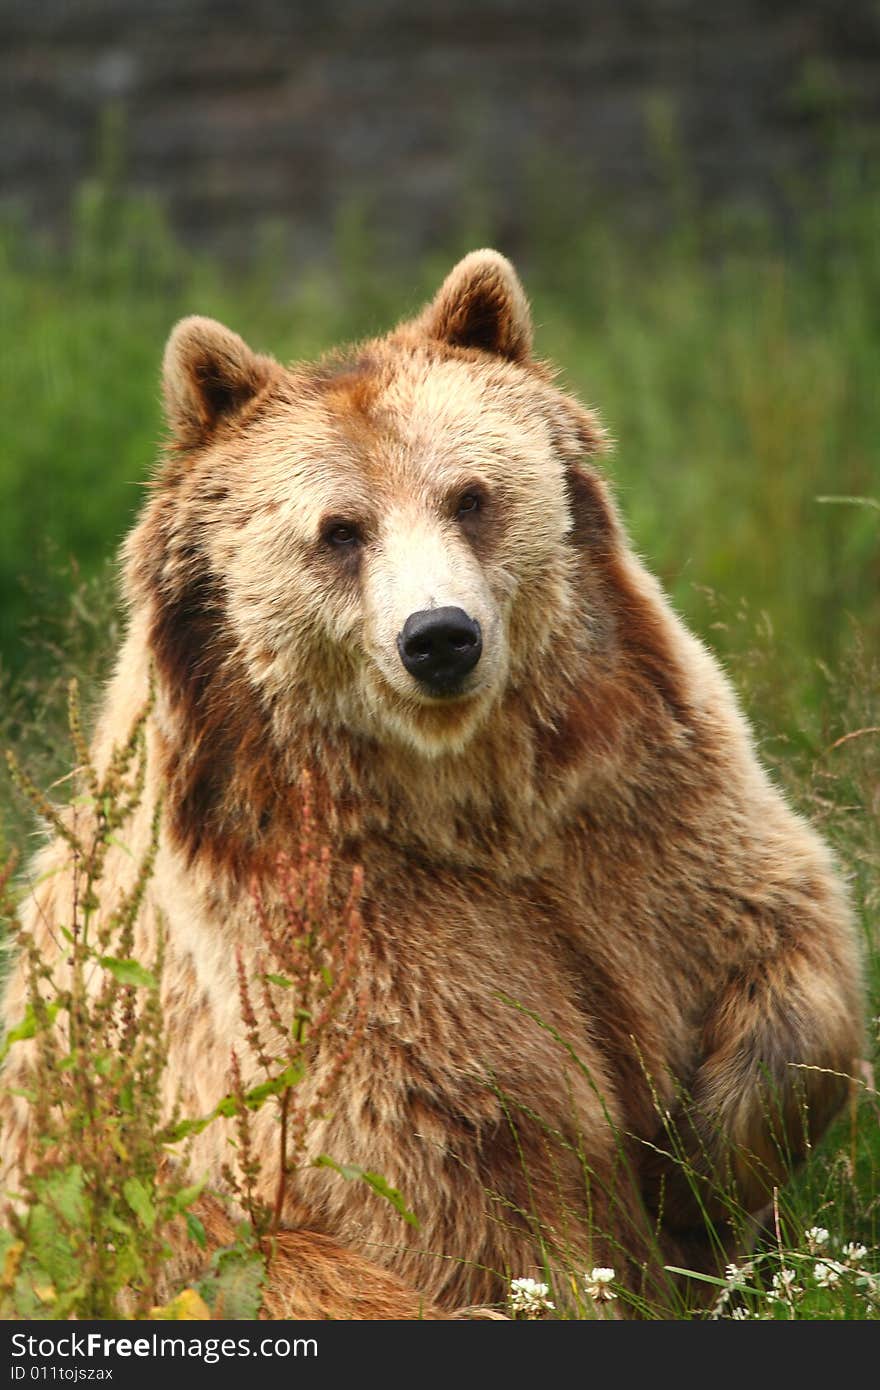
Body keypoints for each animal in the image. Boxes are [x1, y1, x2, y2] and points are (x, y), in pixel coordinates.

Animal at [1, 247, 867, 1312]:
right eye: (339, 530)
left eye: (471, 495)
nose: (441, 637)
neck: (468, 798)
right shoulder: (334, 926)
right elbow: (463, 1154)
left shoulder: (637, 799)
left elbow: (784, 955)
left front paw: (699, 1166)